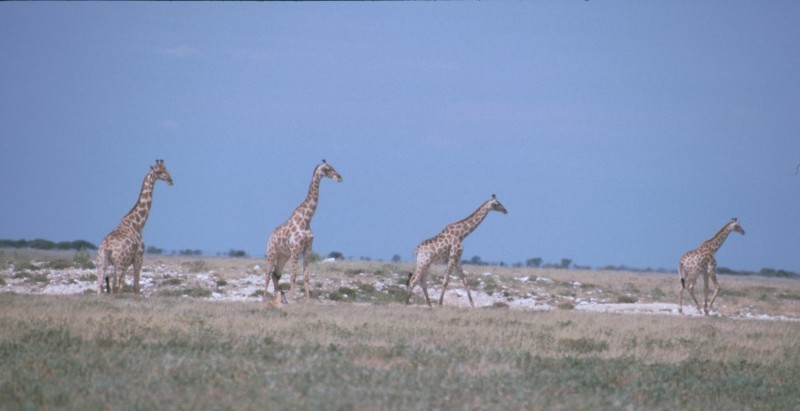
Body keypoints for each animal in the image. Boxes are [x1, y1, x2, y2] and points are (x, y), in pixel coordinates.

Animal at [95, 159, 173, 294]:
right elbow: (136, 287)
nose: (170, 180)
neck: (138, 224)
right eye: (158, 171)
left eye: (166, 169)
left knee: (100, 286)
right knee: (118, 286)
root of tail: (106, 247)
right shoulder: (138, 257)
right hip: (121, 263)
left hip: (102, 263)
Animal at [264, 159, 342, 308]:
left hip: (283, 255)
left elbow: (306, 276)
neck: (307, 219)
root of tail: (270, 236)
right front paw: (293, 299)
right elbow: (293, 275)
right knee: (268, 273)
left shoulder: (308, 249)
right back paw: (263, 297)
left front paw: (308, 300)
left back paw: (277, 298)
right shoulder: (295, 249)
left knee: (276, 274)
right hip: (272, 252)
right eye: (328, 169)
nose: (340, 177)